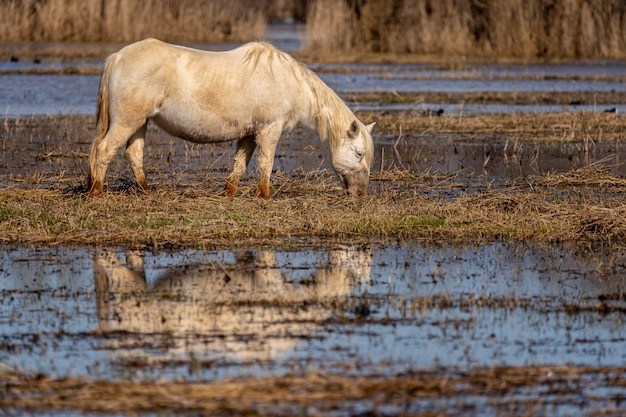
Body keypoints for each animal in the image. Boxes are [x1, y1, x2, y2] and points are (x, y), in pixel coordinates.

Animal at [86, 38, 370, 197]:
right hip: (127, 122)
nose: (361, 193)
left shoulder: (250, 133)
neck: (287, 80)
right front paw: (264, 195)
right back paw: (97, 191)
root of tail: (117, 57)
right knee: (104, 150)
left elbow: (240, 165)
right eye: (358, 153)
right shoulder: (270, 129)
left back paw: (146, 190)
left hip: (138, 123)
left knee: (133, 154)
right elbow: (265, 163)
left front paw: (229, 192)